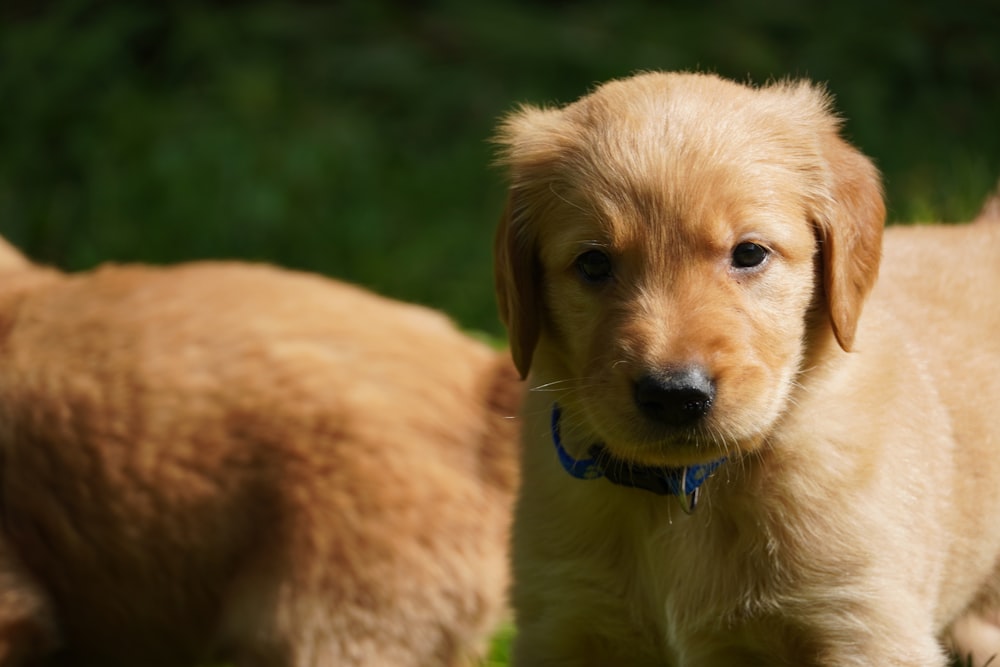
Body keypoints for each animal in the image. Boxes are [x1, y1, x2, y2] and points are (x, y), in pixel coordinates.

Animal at [496, 70, 1000, 664]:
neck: (685, 493)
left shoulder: (865, 625)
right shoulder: (564, 619)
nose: (675, 394)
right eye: (593, 263)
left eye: (750, 253)